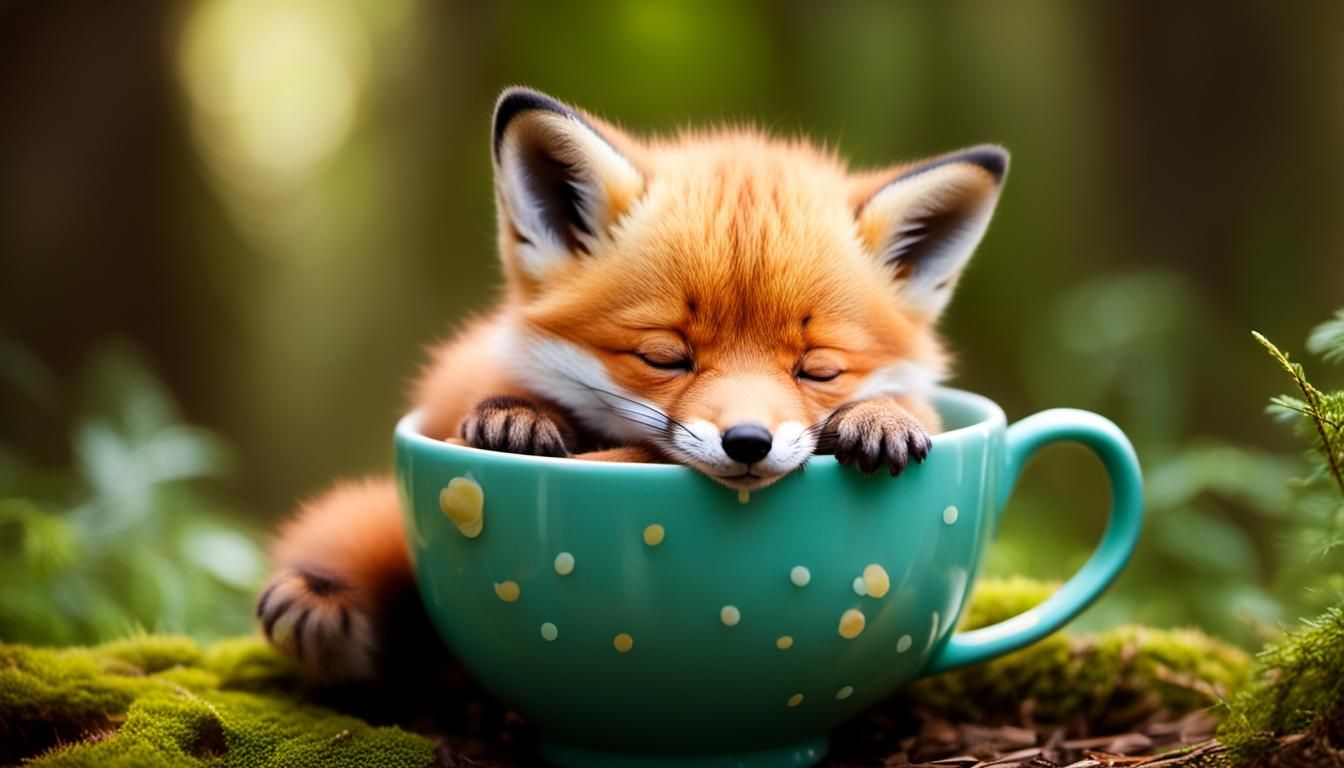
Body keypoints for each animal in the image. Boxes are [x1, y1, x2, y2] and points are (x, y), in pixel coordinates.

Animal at [256, 87, 1008, 682]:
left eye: (818, 368)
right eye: (665, 357)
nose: (747, 443)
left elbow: (915, 409)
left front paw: (880, 417)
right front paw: (517, 416)